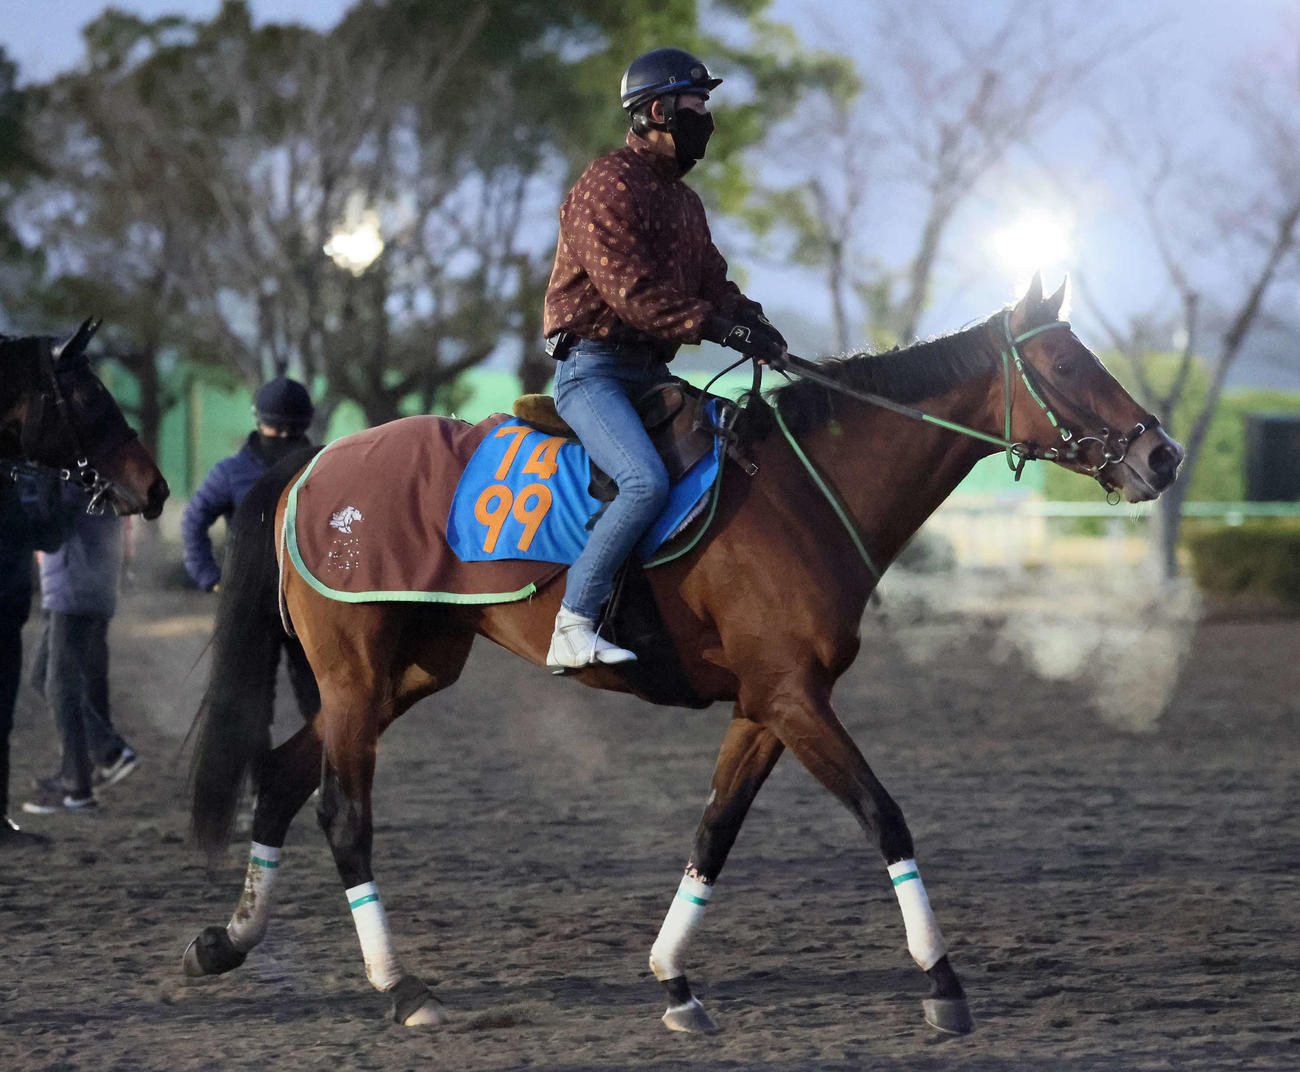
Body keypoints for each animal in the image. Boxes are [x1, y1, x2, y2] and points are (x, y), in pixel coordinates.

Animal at [184, 275, 1183, 1035]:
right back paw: (402, 989)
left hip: (409, 670)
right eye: (1066, 363)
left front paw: (675, 980)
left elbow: (714, 831)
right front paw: (942, 980)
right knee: (343, 814)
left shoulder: (767, 704)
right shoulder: (794, 698)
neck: (800, 492)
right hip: (357, 675)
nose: (1163, 456)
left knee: (282, 775)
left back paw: (227, 941)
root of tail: (315, 465)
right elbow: (885, 817)